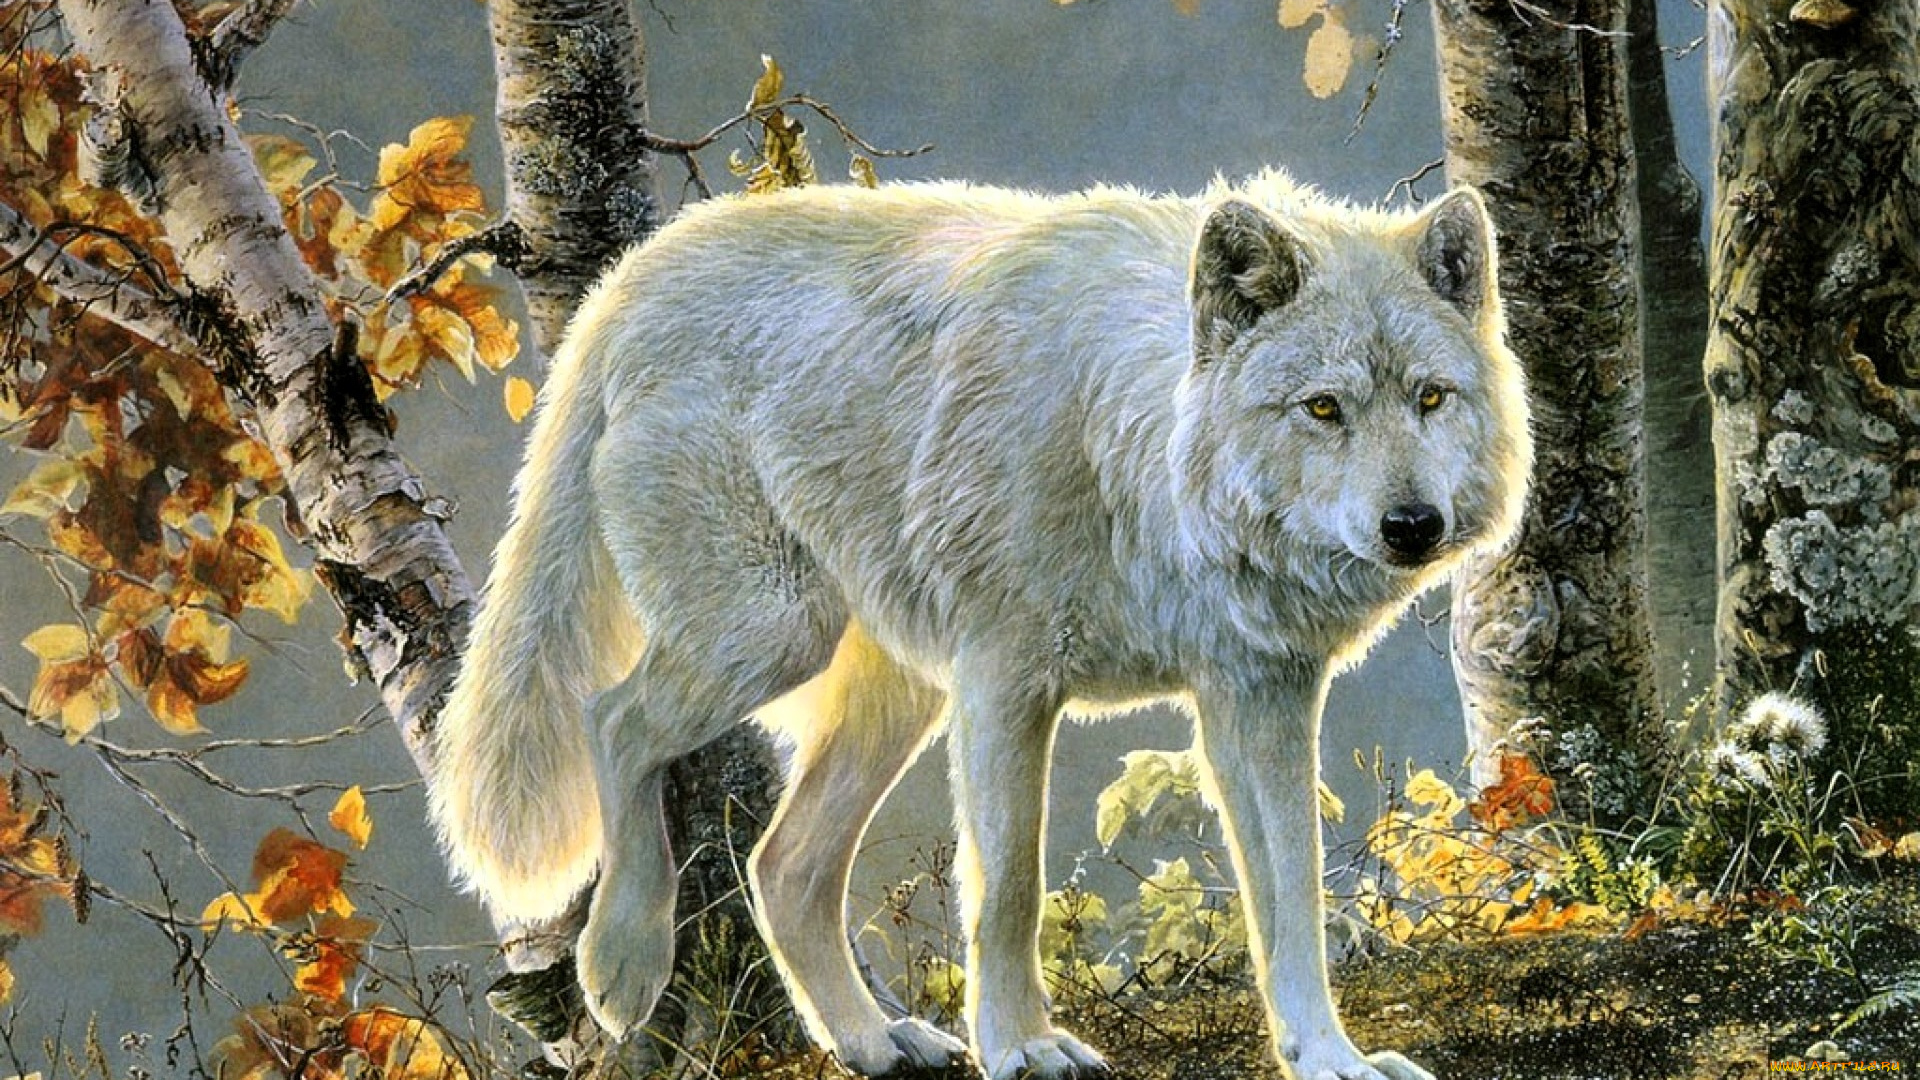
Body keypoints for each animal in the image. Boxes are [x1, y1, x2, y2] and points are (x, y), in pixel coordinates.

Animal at [428, 171, 1531, 1080]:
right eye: (1323, 409)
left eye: (1431, 398)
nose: (1413, 526)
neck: (1132, 452)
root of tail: (634, 279)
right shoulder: (1008, 682)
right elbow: (1008, 891)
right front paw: (1022, 1047)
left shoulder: (1258, 699)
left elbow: (1293, 892)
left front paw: (1330, 1058)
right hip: (772, 635)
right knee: (612, 722)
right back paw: (621, 962)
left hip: (893, 694)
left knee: (782, 869)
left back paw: (872, 1043)